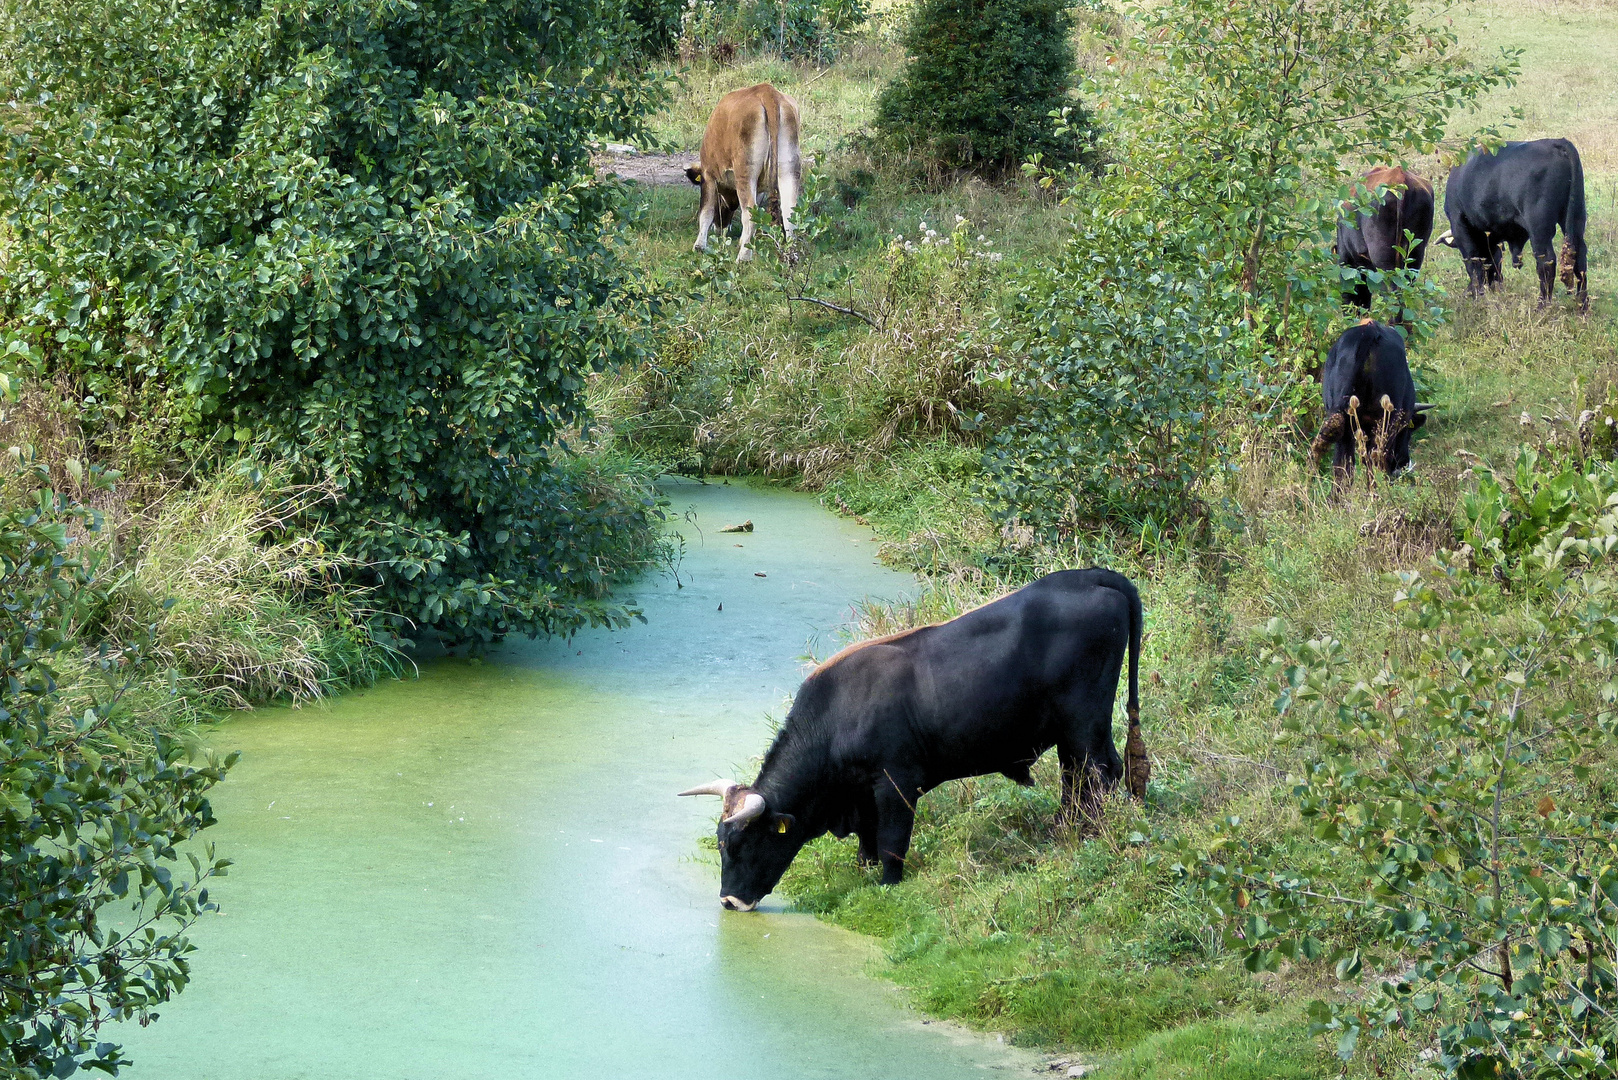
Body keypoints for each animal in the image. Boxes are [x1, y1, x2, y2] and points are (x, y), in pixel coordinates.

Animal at [676, 569, 1145, 906]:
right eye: (719, 845)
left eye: (746, 844)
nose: (730, 901)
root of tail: (1089, 575)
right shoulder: (861, 793)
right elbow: (868, 840)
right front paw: (863, 871)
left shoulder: (896, 783)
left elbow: (891, 841)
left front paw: (887, 883)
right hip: (1076, 732)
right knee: (1081, 778)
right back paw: (1065, 829)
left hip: (1084, 722)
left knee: (1098, 774)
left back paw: (1088, 834)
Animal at [682, 83, 802, 262]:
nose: (721, 226)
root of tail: (767, 91)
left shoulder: (708, 175)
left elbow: (705, 211)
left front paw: (699, 246)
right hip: (789, 168)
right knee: (789, 211)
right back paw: (791, 256)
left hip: (745, 171)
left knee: (750, 214)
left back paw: (743, 258)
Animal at [1313, 318, 1430, 482]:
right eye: (1407, 431)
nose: (1403, 463)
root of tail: (1369, 331)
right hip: (1384, 424)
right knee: (1376, 461)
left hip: (1343, 422)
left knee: (1342, 466)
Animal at [1443, 137, 1592, 307]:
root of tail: (1554, 142)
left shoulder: (1460, 226)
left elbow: (1473, 263)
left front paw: (1476, 295)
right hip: (1576, 218)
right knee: (1579, 257)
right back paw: (1582, 304)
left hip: (1539, 227)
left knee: (1546, 261)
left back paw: (1542, 305)